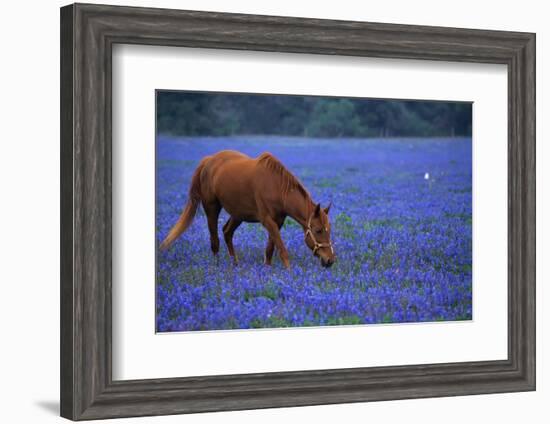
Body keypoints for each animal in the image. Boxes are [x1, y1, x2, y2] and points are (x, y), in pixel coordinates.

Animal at [160, 150, 336, 268]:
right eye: (318, 230)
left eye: (329, 229)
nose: (330, 260)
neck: (277, 188)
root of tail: (209, 160)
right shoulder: (267, 221)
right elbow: (281, 248)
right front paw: (289, 273)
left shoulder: (278, 222)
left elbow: (270, 249)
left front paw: (267, 269)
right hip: (211, 208)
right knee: (215, 240)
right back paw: (217, 269)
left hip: (238, 214)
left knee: (227, 232)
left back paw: (235, 264)